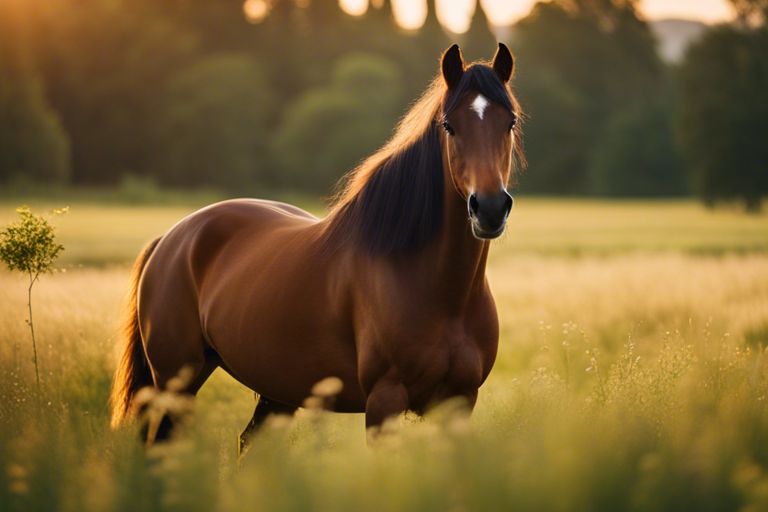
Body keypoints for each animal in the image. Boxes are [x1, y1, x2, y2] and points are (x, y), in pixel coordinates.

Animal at [111, 42, 524, 446]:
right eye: (449, 126)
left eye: (510, 122)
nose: (489, 208)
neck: (439, 290)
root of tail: (171, 238)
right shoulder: (384, 401)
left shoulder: (459, 403)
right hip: (174, 383)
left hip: (274, 390)